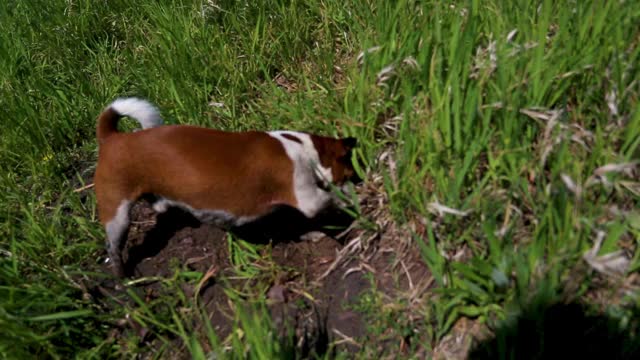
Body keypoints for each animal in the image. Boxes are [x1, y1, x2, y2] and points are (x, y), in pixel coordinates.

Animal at [94, 97, 360, 278]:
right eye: (349, 168)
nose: (357, 178)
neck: (299, 146)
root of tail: (111, 137)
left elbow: (289, 223)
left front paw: (311, 234)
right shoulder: (308, 197)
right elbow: (330, 198)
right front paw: (353, 196)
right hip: (117, 215)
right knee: (112, 247)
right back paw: (122, 276)